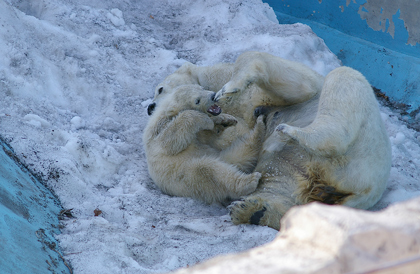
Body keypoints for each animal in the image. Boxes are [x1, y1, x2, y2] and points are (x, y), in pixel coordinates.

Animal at [213, 53, 394, 229]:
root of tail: (367, 193)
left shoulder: (299, 91)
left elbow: (299, 85)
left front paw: (227, 89)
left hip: (361, 152)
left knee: (343, 79)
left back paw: (290, 132)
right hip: (304, 174)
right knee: (281, 190)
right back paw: (251, 211)